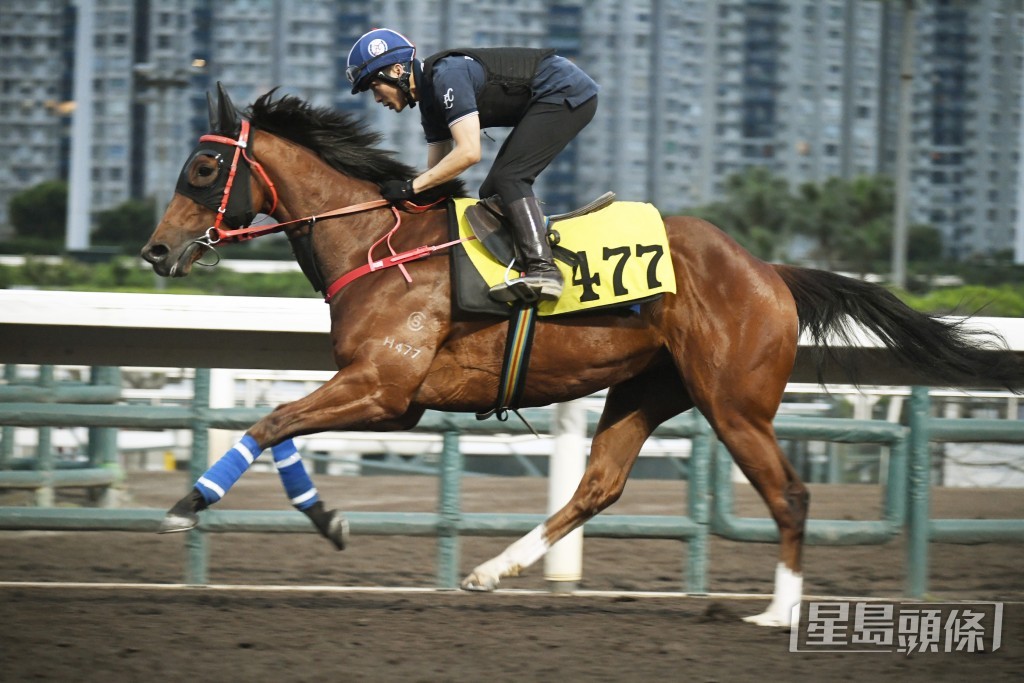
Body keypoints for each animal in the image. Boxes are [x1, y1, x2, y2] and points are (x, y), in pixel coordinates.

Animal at [141, 85, 1022, 627]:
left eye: (205, 166)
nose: (155, 251)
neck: (374, 240)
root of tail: (771, 271)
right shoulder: (386, 393)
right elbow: (282, 424)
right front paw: (324, 516)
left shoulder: (383, 386)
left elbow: (269, 419)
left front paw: (190, 502)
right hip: (649, 389)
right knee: (599, 485)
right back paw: (494, 569)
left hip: (734, 402)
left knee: (791, 493)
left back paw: (777, 611)